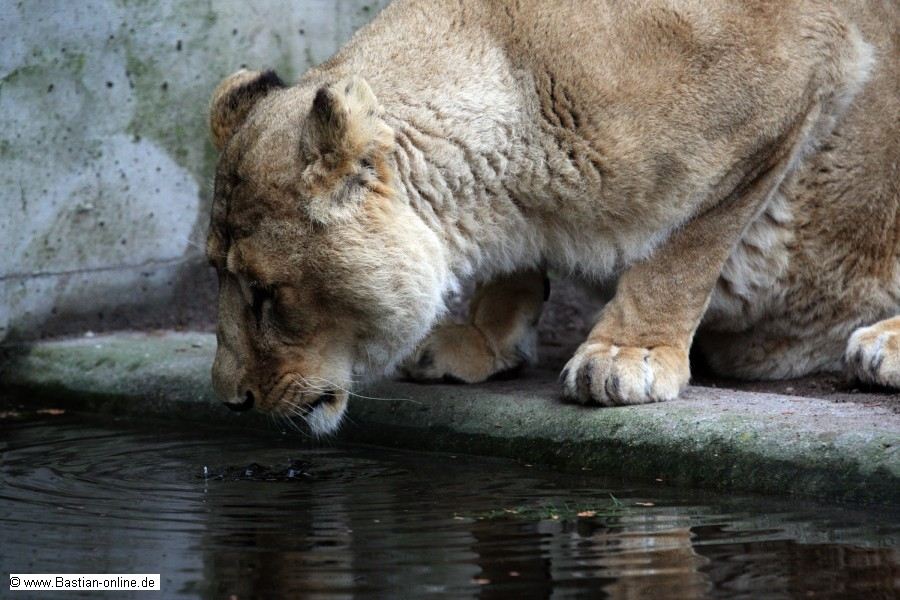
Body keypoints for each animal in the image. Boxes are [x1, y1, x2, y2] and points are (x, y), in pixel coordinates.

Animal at [205, 0, 900, 435]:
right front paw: (482, 339)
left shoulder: (802, 73)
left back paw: (882, 346)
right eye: (217, 275)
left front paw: (628, 354)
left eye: (266, 295)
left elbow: (686, 246)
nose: (231, 401)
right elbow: (515, 264)